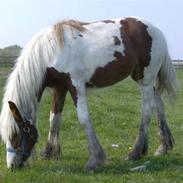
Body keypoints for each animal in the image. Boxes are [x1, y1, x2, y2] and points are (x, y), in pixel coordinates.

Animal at [0, 17, 177, 170]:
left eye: (15, 134)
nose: (11, 165)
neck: (50, 52)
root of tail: (156, 30)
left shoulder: (76, 86)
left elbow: (84, 119)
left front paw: (95, 159)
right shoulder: (60, 88)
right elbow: (54, 118)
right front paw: (50, 152)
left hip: (145, 80)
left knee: (146, 112)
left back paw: (135, 152)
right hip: (143, 78)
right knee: (159, 105)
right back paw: (163, 147)